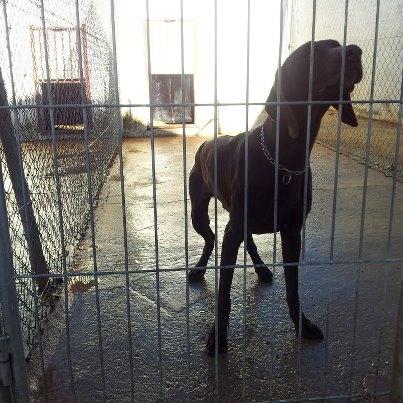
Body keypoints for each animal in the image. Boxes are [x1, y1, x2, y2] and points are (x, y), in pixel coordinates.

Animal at [188, 40, 364, 356]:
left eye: (337, 44)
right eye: (309, 53)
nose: (355, 51)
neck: (284, 161)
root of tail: (207, 142)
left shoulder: (292, 233)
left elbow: (293, 289)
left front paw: (302, 325)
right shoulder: (234, 230)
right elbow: (223, 295)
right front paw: (218, 336)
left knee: (247, 240)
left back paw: (260, 269)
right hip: (199, 212)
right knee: (210, 239)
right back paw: (198, 269)